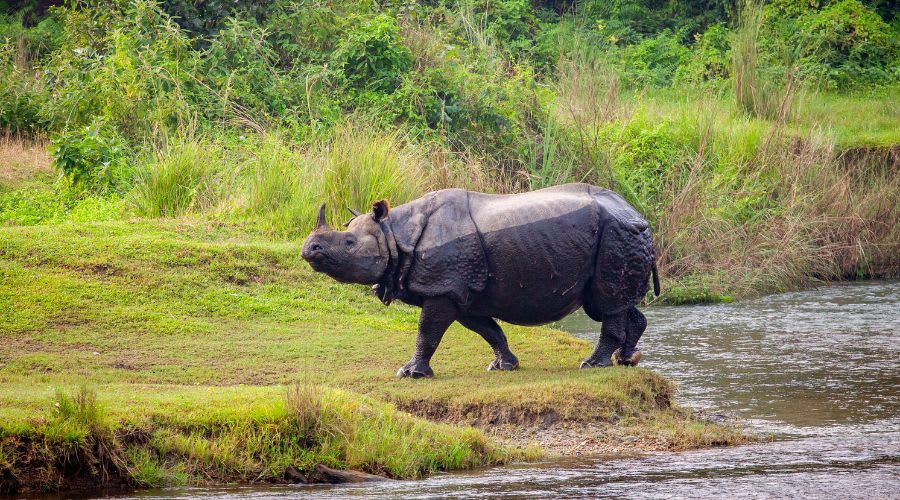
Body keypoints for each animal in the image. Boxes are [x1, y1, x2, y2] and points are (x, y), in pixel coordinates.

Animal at [301, 183, 659, 378]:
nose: (309, 248)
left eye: (349, 243)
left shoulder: (445, 287)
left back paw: (592, 365)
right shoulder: (462, 291)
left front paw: (410, 373)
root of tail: (638, 214)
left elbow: (427, 331)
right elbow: (488, 330)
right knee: (619, 303)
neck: (394, 233)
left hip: (617, 235)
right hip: (620, 237)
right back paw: (626, 360)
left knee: (606, 304)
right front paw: (504, 366)